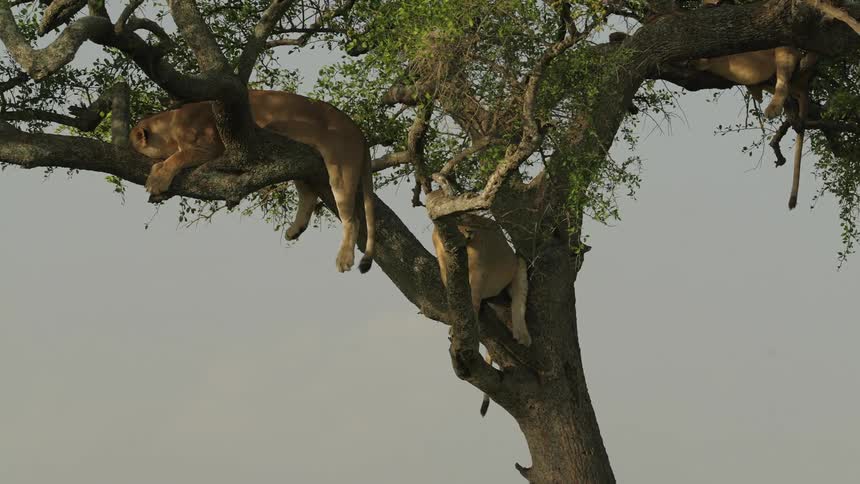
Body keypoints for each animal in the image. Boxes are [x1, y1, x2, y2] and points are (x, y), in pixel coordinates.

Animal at [130, 90, 376, 273]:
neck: (171, 124)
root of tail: (358, 131)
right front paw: (156, 172)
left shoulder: (211, 148)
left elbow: (178, 157)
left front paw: (157, 179)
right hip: (301, 163)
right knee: (308, 194)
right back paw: (295, 230)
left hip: (340, 167)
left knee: (352, 218)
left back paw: (344, 258)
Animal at [431, 216, 530, 416]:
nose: (470, 232)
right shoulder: (446, 270)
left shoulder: (480, 272)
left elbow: (473, 300)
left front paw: (457, 329)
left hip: (518, 263)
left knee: (518, 301)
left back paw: (523, 337)